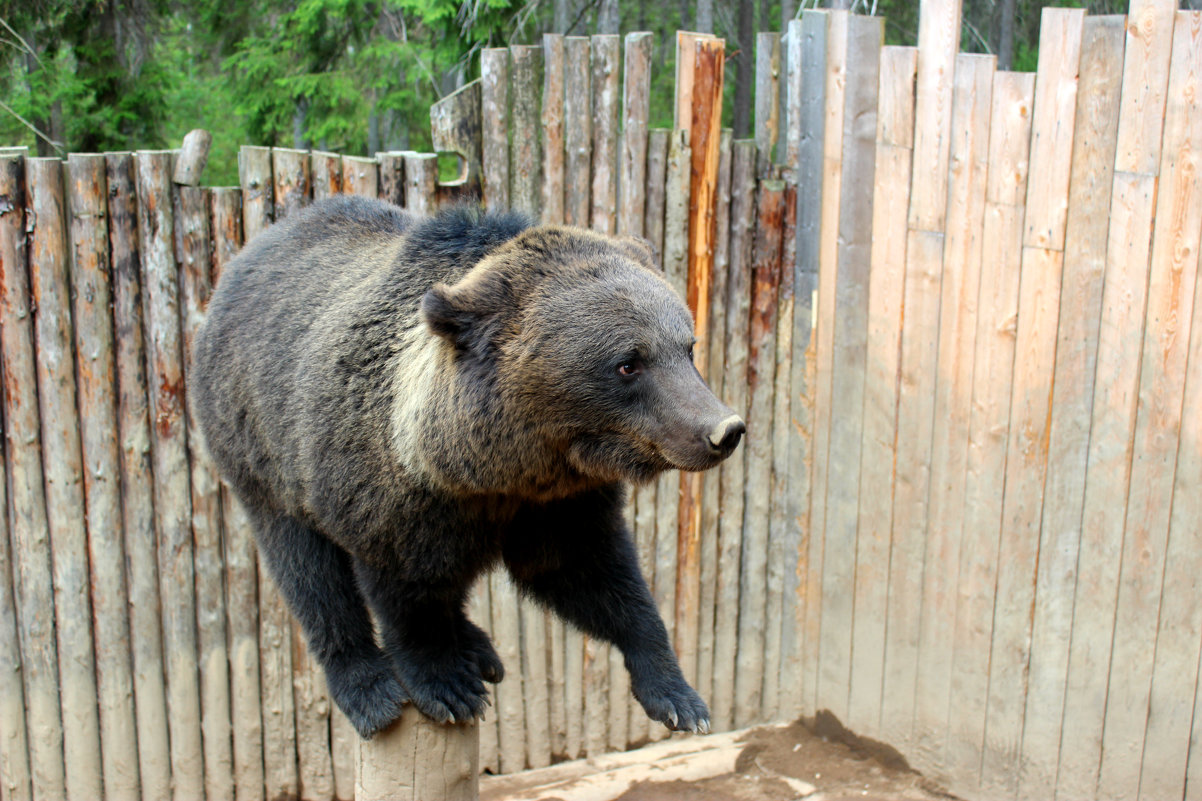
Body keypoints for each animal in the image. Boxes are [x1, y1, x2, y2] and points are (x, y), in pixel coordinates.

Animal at [189, 196, 740, 740]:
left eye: (686, 346)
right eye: (628, 363)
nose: (724, 429)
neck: (494, 467)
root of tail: (239, 263)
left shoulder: (557, 505)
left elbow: (594, 575)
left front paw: (678, 697)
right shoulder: (388, 498)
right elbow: (405, 595)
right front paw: (446, 686)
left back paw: (478, 647)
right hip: (260, 453)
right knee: (310, 576)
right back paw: (370, 690)